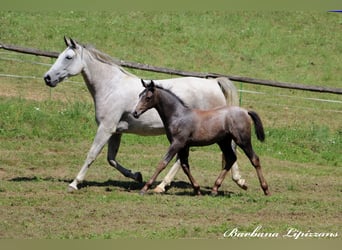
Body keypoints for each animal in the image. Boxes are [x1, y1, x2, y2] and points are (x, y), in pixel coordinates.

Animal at [133, 79, 270, 196]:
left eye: (148, 97)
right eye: (139, 95)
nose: (135, 113)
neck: (178, 116)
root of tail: (245, 111)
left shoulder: (177, 143)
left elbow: (162, 163)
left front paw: (145, 188)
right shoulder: (184, 145)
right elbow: (185, 166)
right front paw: (197, 190)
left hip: (243, 140)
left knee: (254, 159)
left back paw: (266, 189)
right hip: (223, 142)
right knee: (231, 158)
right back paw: (214, 189)